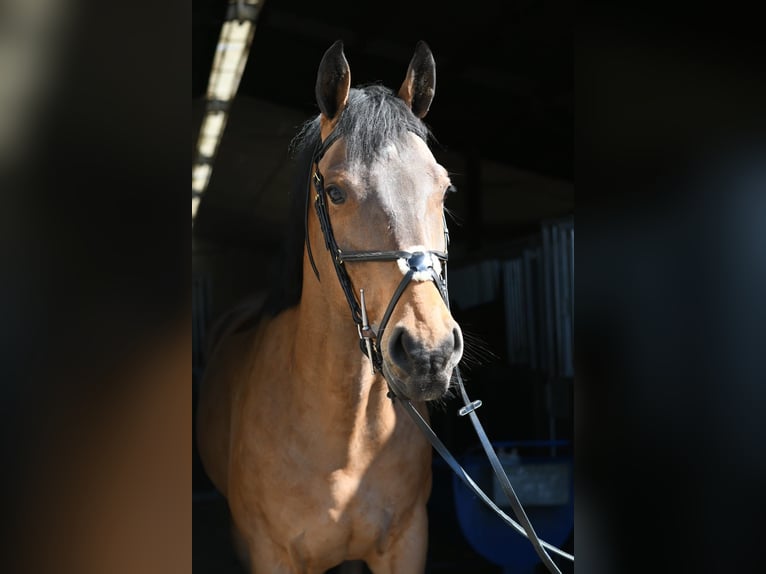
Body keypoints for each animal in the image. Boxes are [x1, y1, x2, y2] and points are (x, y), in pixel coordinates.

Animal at [196, 40, 464, 573]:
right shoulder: (271, 554)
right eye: (336, 192)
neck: (346, 434)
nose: (429, 353)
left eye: (444, 189)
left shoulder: (406, 543)